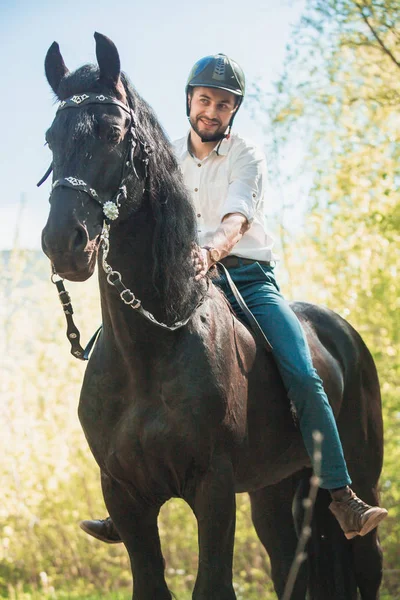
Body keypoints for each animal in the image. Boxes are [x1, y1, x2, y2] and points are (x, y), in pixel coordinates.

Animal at [40, 34, 384, 600]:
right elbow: (150, 583)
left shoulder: (213, 488)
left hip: (359, 477)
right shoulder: (125, 496)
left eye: (113, 132)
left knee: (366, 561)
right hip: (275, 489)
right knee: (288, 566)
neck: (149, 348)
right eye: (51, 138)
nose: (63, 243)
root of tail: (345, 337)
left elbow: (214, 583)